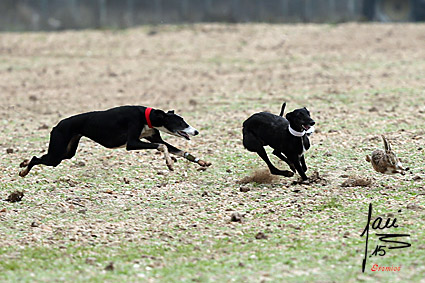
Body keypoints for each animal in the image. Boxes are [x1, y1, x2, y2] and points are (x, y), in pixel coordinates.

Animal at [19, 106, 211, 178]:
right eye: (181, 123)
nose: (196, 131)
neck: (147, 117)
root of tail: (57, 125)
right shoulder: (132, 143)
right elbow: (162, 146)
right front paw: (169, 164)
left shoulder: (152, 137)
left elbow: (179, 151)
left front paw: (201, 162)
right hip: (57, 154)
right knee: (36, 158)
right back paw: (24, 170)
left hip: (67, 152)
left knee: (40, 157)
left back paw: (23, 163)